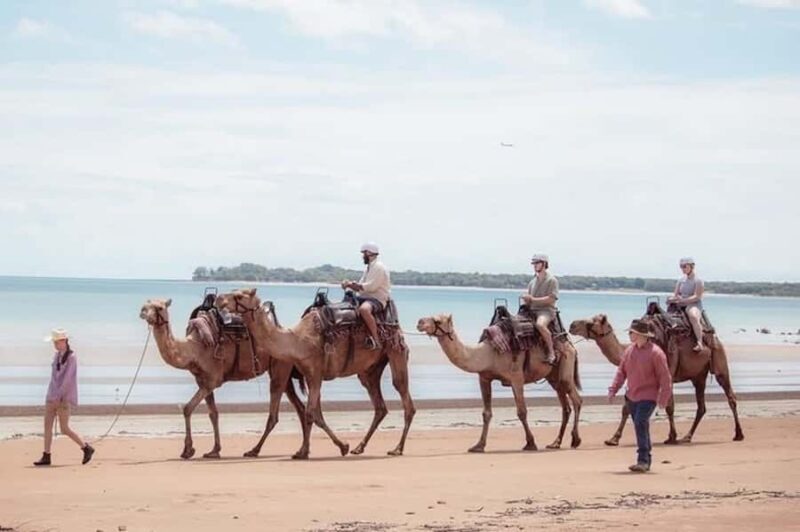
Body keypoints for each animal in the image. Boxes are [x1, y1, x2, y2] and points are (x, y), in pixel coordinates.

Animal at [139, 298, 310, 459]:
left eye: (159, 307)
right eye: (145, 305)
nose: (142, 313)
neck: (193, 348)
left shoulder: (212, 380)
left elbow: (188, 408)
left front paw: (188, 450)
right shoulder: (202, 381)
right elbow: (213, 414)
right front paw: (214, 450)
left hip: (279, 368)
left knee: (274, 414)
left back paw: (254, 450)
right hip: (284, 373)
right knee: (300, 408)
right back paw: (302, 451)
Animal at [215, 288, 416, 459]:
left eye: (238, 296)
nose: (218, 299)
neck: (298, 340)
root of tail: (396, 325)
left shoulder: (316, 373)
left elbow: (310, 413)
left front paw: (306, 451)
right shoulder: (310, 375)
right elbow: (313, 414)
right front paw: (336, 447)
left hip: (395, 350)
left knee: (403, 392)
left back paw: (397, 448)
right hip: (370, 369)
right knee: (378, 403)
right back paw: (359, 447)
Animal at [416, 313, 582, 452]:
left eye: (437, 320)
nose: (419, 322)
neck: (487, 354)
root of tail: (569, 343)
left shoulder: (516, 377)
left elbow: (522, 412)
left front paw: (530, 443)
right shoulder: (484, 378)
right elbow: (486, 413)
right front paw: (478, 446)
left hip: (566, 366)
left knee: (576, 399)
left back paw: (575, 440)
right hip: (553, 377)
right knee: (565, 406)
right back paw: (555, 443)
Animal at [569, 314, 744, 445]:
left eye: (591, 322)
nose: (572, 325)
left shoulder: (667, 375)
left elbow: (669, 407)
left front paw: (671, 437)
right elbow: (626, 408)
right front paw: (613, 438)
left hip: (719, 361)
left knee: (730, 396)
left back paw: (738, 434)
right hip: (698, 376)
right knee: (701, 406)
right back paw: (687, 437)